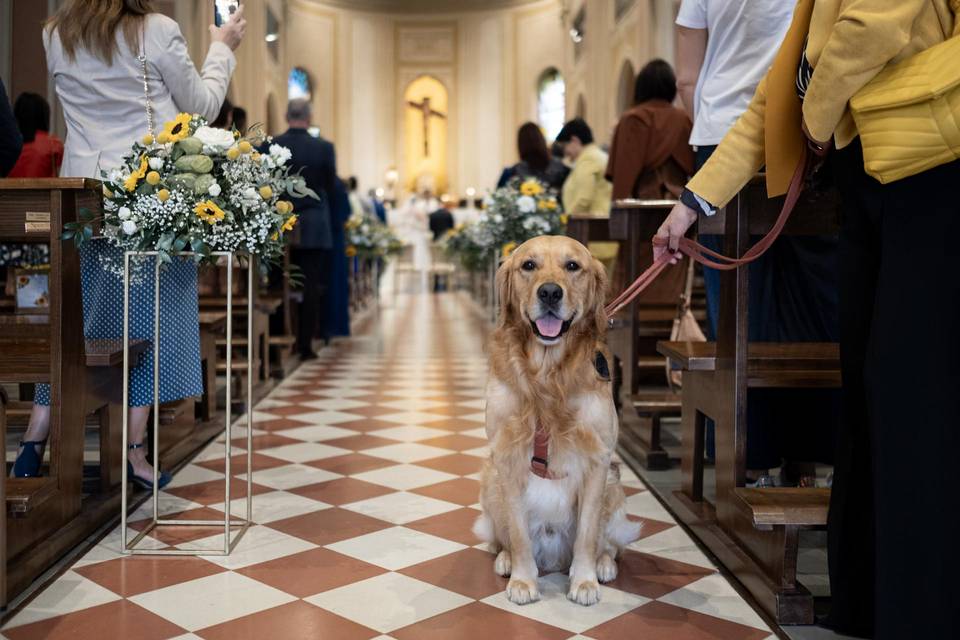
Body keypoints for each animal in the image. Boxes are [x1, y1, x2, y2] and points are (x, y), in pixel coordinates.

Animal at [470, 238, 636, 608]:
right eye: (528, 265)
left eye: (573, 266)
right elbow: (518, 533)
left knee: (611, 544)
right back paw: (504, 559)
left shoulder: (598, 460)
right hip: (489, 481)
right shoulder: (507, 458)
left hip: (615, 487)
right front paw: (523, 580)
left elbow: (588, 534)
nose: (549, 292)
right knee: (501, 537)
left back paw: (604, 565)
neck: (547, 375)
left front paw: (585, 582)